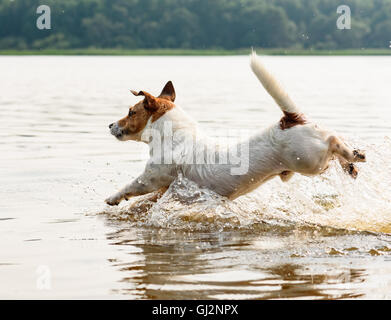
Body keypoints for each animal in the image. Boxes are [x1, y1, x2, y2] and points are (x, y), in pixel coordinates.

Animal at [105, 52, 368, 206]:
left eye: (131, 112)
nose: (110, 125)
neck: (175, 135)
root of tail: (290, 119)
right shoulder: (165, 189)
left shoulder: (151, 178)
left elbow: (131, 186)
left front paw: (112, 198)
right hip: (315, 163)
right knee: (336, 147)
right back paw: (351, 164)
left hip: (309, 161)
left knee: (334, 140)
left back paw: (355, 154)